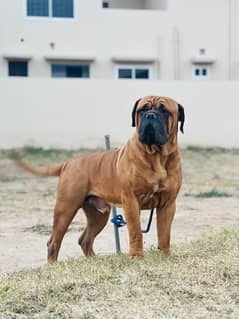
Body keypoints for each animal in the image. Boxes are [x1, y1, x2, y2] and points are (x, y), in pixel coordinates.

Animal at [16, 95, 185, 262]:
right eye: (142, 110)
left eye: (164, 111)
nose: (150, 115)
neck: (156, 156)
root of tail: (68, 163)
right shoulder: (131, 201)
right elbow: (136, 231)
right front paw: (137, 257)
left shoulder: (168, 204)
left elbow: (164, 233)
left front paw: (165, 256)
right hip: (66, 208)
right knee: (54, 241)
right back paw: (53, 265)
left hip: (98, 214)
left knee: (85, 239)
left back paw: (93, 260)